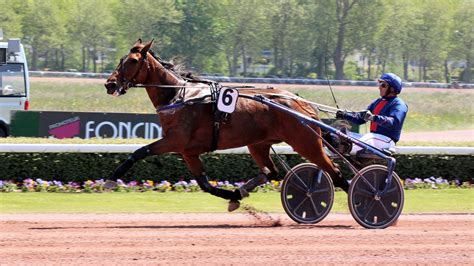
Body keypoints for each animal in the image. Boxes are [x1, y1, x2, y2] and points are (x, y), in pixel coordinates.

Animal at [104, 39, 348, 211]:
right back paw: (244, 190)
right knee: (271, 171)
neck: (178, 96)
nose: (110, 84)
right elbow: (205, 184)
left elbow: (139, 152)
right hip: (258, 144)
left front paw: (110, 179)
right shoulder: (188, 151)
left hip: (306, 142)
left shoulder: (175, 140)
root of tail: (302, 102)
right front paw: (234, 196)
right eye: (121, 59)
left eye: (133, 61)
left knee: (335, 172)